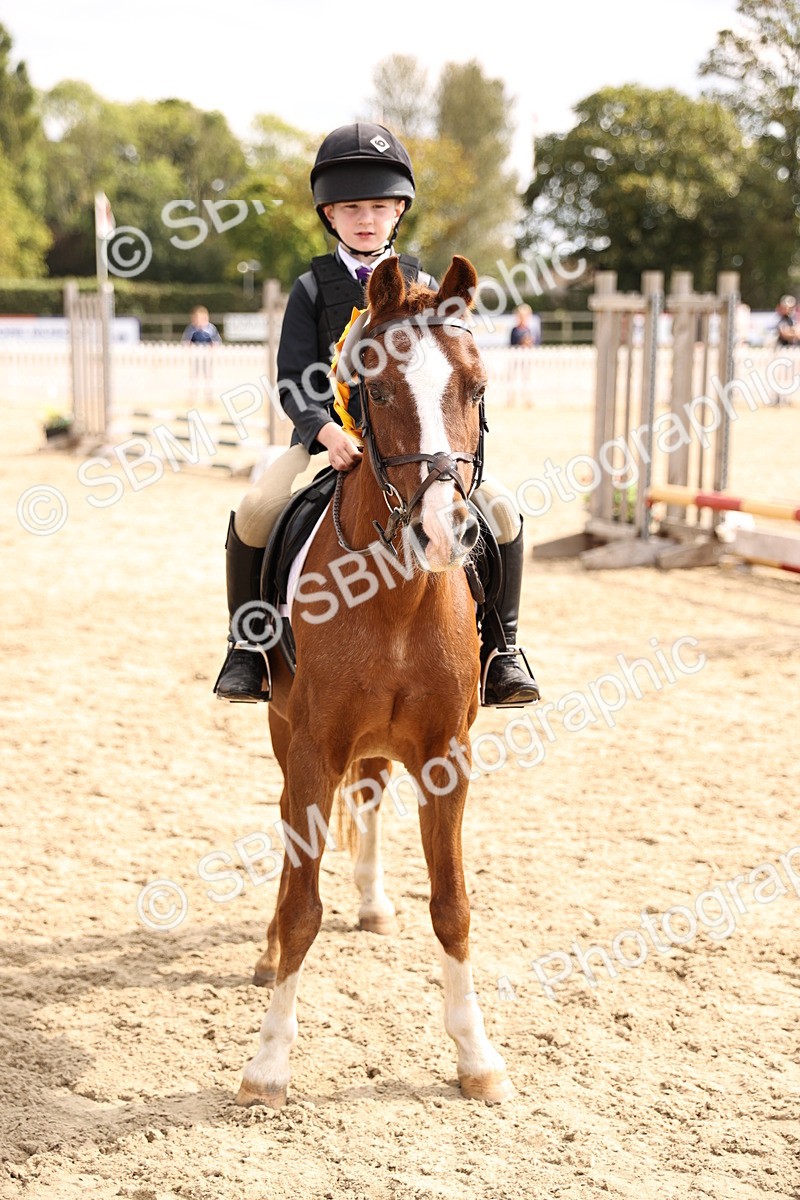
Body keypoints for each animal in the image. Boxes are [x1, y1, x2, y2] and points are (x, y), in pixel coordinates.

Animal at [236, 254, 515, 1107]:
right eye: (380, 391)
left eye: (477, 387)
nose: (443, 533)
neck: (395, 596)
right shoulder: (313, 748)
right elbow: (301, 906)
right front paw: (267, 1065)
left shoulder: (445, 755)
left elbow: (453, 907)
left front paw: (476, 1057)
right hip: (285, 736)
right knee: (292, 831)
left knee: (366, 799)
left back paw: (372, 902)